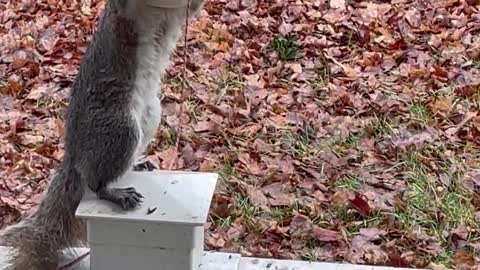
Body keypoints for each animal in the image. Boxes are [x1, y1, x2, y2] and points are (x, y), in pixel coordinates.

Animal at [0, 0, 204, 268]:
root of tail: (74, 154)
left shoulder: (182, 12)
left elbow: (194, 10)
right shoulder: (123, 11)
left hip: (150, 117)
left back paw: (137, 165)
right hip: (119, 129)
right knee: (95, 181)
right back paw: (114, 193)